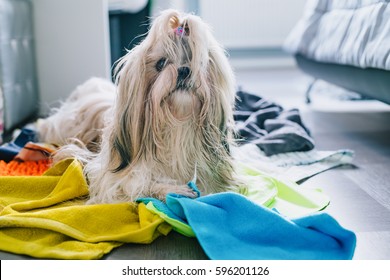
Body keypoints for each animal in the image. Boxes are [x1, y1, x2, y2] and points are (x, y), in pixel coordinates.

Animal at [38, 9, 238, 203]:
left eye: (198, 63)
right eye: (161, 63)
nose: (184, 70)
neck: (176, 128)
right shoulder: (110, 179)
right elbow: (139, 184)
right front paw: (174, 189)